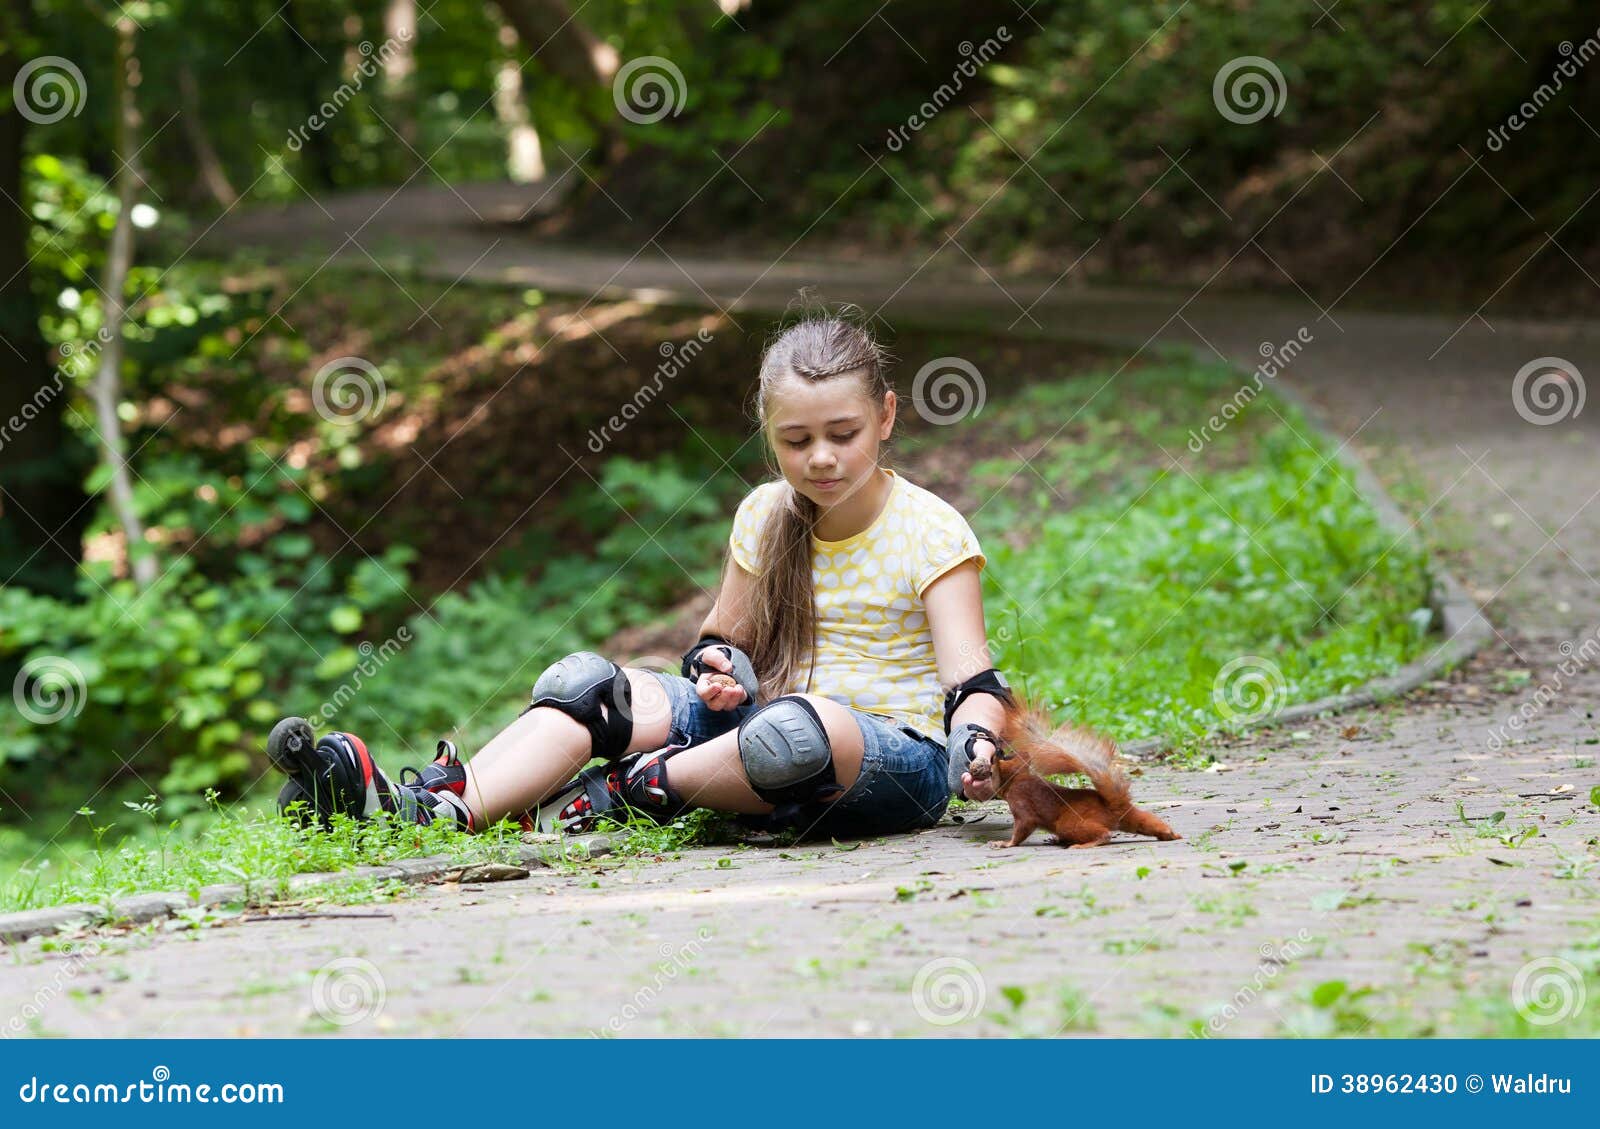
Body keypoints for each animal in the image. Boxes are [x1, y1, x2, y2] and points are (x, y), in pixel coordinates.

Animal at [968, 699, 1181, 849]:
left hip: (1069, 823)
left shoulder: (1021, 803)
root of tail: (1115, 808)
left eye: (992, 768)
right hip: (1133, 819)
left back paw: (1083, 844)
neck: (1017, 779)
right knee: (1147, 821)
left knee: (1105, 835)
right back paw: (1171, 834)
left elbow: (1022, 828)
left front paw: (1004, 844)